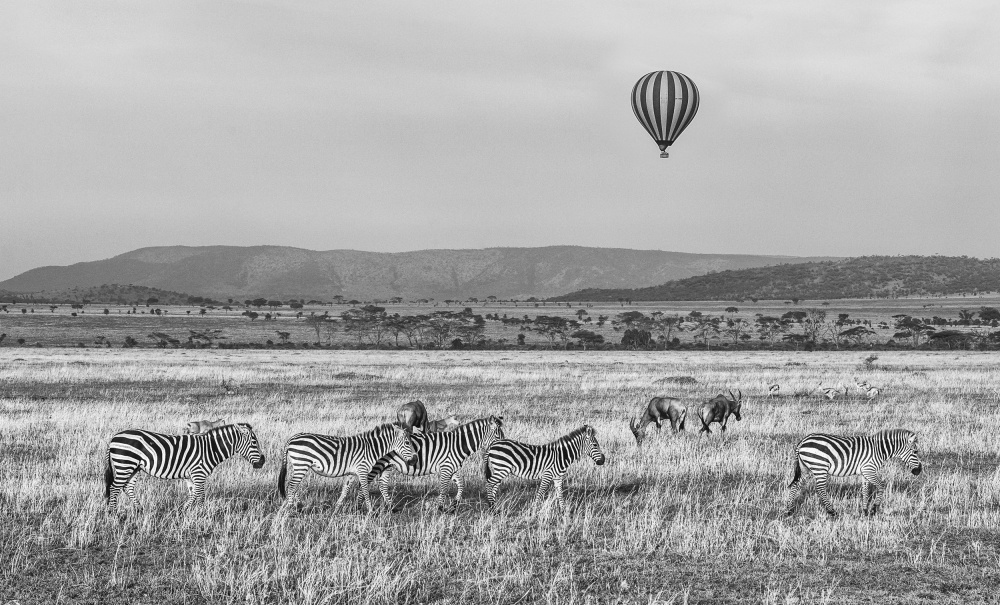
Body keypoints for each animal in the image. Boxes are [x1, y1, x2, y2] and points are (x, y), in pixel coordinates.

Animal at [104, 422, 266, 512]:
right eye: (254, 443)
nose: (262, 462)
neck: (210, 448)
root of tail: (113, 438)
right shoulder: (199, 472)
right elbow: (200, 495)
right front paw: (201, 513)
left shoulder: (191, 475)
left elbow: (193, 493)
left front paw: (185, 509)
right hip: (125, 464)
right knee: (114, 488)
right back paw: (113, 513)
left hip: (134, 467)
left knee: (127, 487)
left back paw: (139, 509)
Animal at [276, 422, 416, 512]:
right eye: (407, 442)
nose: (415, 460)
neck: (371, 448)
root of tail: (292, 438)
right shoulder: (362, 469)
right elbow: (365, 489)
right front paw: (370, 510)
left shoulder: (352, 473)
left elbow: (345, 490)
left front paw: (336, 508)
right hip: (301, 464)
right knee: (291, 486)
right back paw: (291, 508)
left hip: (300, 466)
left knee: (293, 486)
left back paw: (298, 506)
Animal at [366, 416, 508, 510]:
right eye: (498, 436)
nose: (504, 446)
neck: (458, 445)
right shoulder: (446, 467)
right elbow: (444, 489)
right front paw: (440, 507)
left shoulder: (452, 468)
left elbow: (461, 484)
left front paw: (455, 503)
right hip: (378, 464)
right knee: (367, 481)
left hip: (387, 465)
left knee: (382, 484)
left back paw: (390, 506)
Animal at [784, 428, 924, 516]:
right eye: (915, 452)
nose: (919, 471)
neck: (880, 450)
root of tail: (802, 442)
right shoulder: (869, 470)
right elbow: (881, 486)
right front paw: (874, 509)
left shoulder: (865, 472)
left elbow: (865, 490)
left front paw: (865, 511)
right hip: (819, 467)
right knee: (820, 489)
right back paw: (832, 512)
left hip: (805, 468)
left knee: (796, 485)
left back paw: (788, 510)